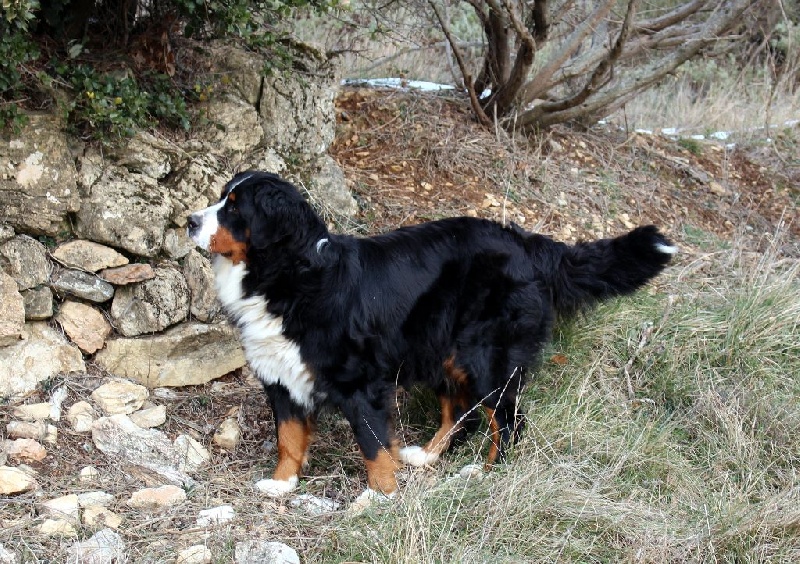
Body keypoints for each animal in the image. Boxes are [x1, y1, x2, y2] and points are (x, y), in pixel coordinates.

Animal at [186, 170, 676, 500]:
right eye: (221, 198)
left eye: (234, 207)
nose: (190, 221)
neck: (288, 276)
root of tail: (527, 242)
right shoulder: (281, 375)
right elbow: (288, 437)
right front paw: (283, 483)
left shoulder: (359, 382)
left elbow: (372, 443)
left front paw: (379, 495)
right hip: (443, 351)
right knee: (462, 412)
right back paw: (427, 456)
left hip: (486, 357)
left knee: (508, 421)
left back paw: (486, 473)